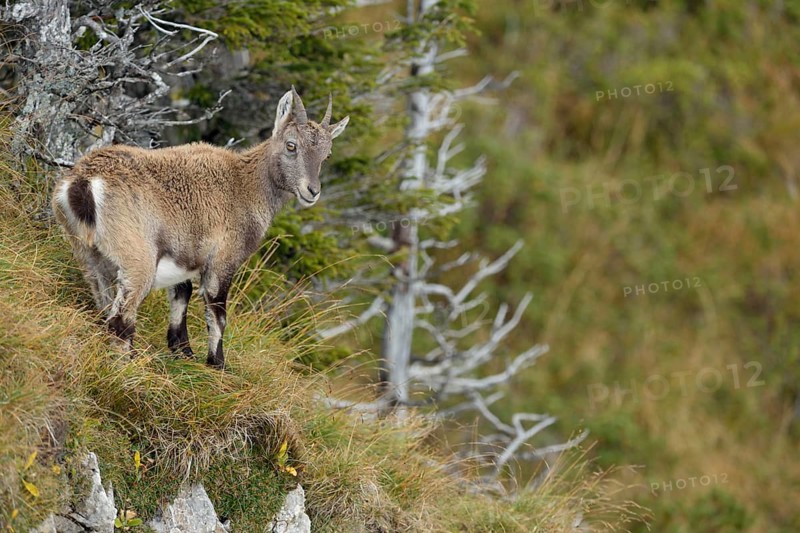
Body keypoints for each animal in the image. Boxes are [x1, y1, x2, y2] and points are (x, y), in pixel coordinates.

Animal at [52, 87, 348, 369]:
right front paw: (217, 365)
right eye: (291, 146)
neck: (245, 186)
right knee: (120, 319)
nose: (312, 191)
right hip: (137, 260)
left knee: (104, 308)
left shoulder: (184, 252)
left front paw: (182, 350)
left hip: (88, 256)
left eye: (327, 154)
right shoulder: (222, 261)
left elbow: (181, 295)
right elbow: (217, 314)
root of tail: (83, 183)